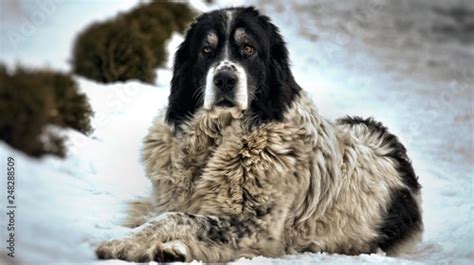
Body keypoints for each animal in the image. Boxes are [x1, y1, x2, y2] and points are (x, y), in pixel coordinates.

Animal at [96, 6, 422, 262]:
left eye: (249, 49)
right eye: (206, 50)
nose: (225, 79)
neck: (217, 135)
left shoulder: (255, 230)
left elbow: (177, 218)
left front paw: (126, 244)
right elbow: (167, 213)